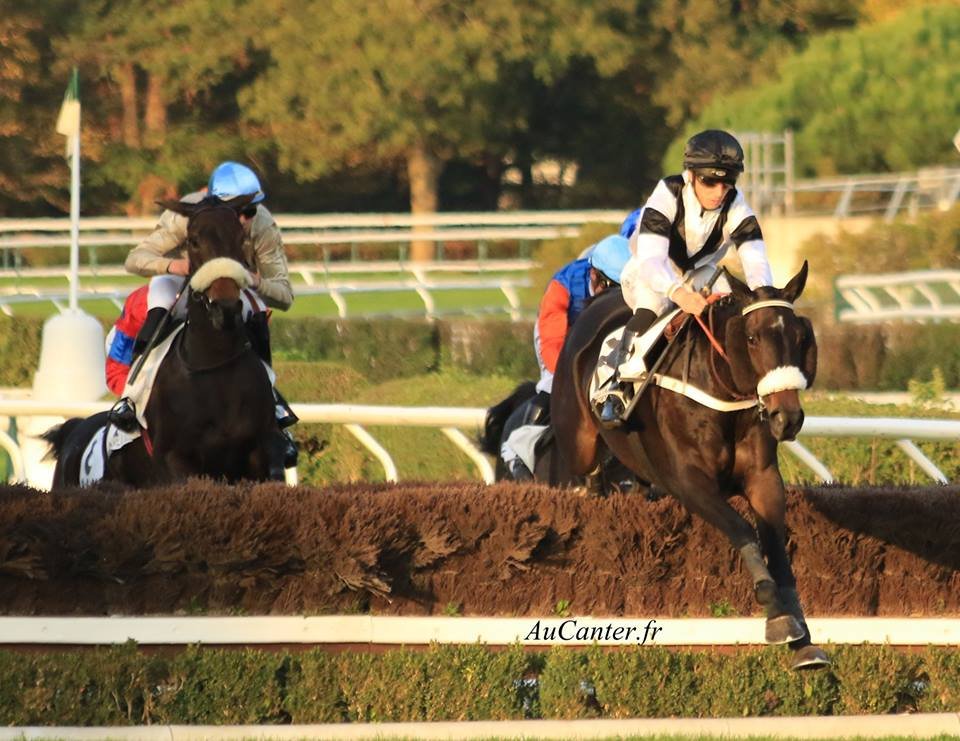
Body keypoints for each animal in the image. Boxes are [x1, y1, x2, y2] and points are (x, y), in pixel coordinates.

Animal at [43, 195, 286, 488]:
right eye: (193, 240)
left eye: (240, 239)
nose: (225, 306)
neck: (214, 360)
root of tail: (75, 429)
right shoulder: (176, 461)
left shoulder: (263, 453)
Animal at [550, 262, 828, 670]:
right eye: (752, 338)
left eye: (801, 337)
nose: (787, 417)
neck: (720, 390)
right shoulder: (689, 482)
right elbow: (742, 529)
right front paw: (775, 611)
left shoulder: (763, 478)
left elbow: (776, 547)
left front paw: (801, 636)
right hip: (578, 441)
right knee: (587, 470)